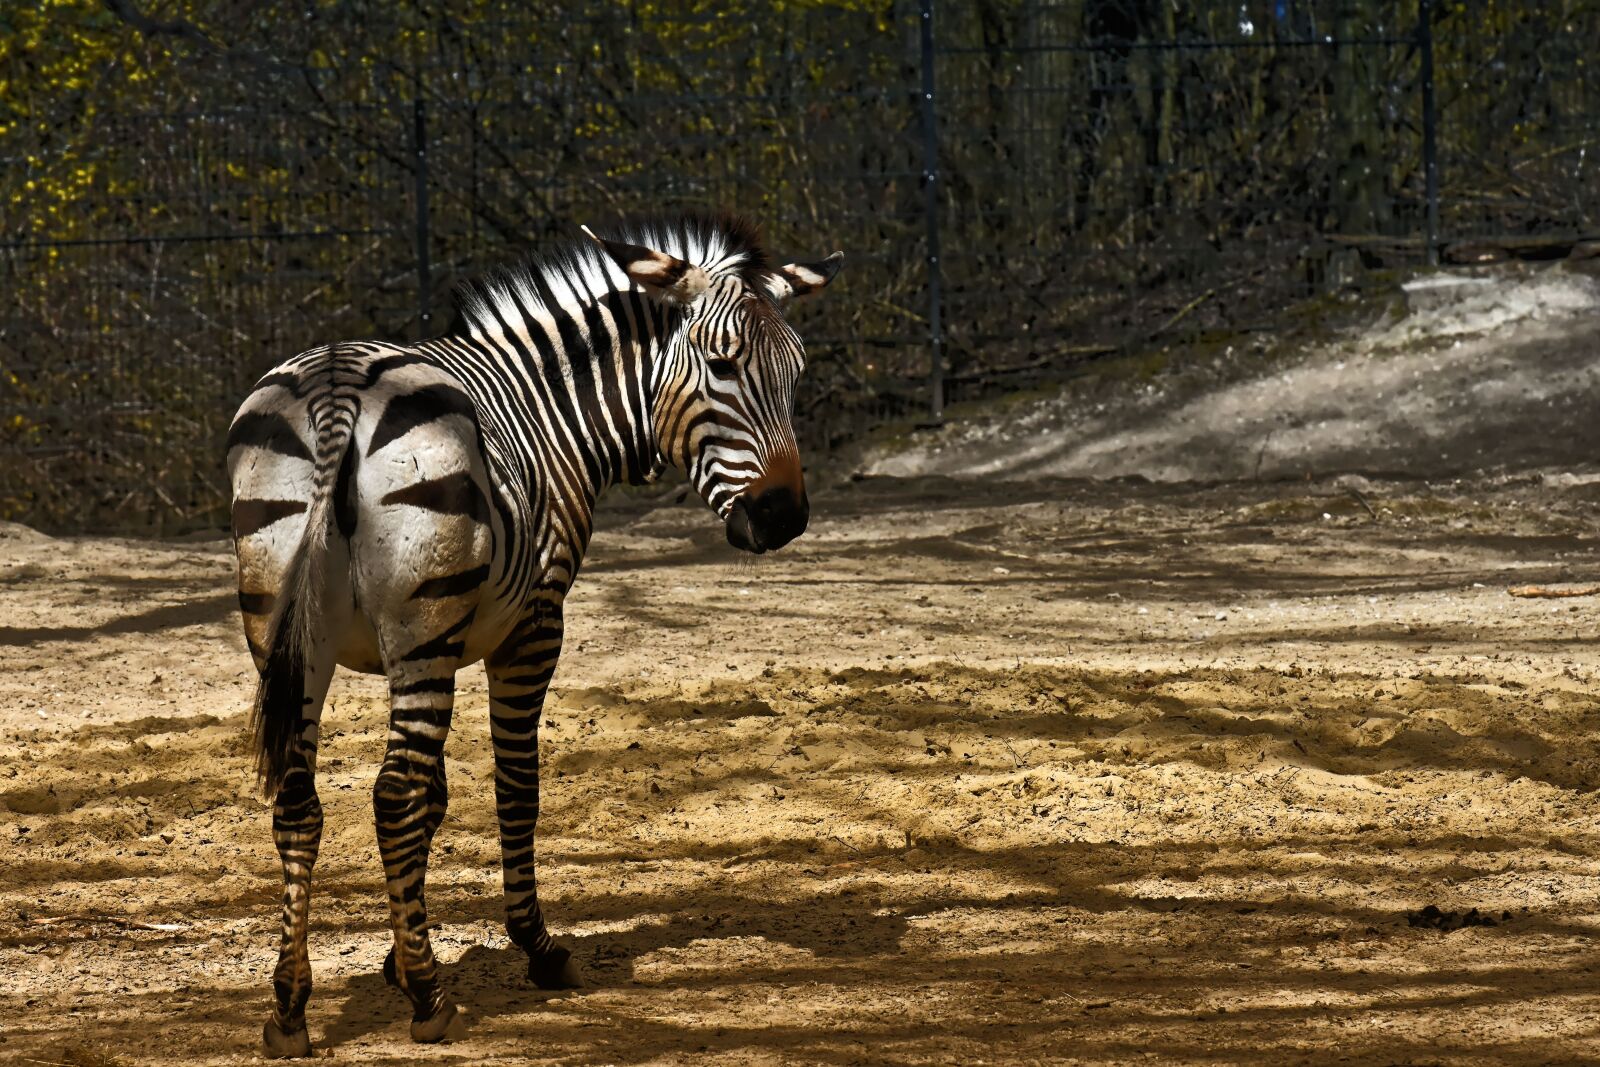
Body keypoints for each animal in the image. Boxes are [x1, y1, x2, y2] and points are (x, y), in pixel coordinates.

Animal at [225, 212, 840, 1057]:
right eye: (721, 365)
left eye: (795, 371)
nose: (784, 518)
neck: (553, 411)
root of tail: (338, 386)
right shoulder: (531, 624)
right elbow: (514, 786)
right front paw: (531, 948)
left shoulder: (424, 644)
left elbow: (439, 797)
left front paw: (397, 955)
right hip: (420, 624)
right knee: (391, 792)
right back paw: (431, 1000)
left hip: (288, 630)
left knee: (299, 802)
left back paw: (290, 1007)